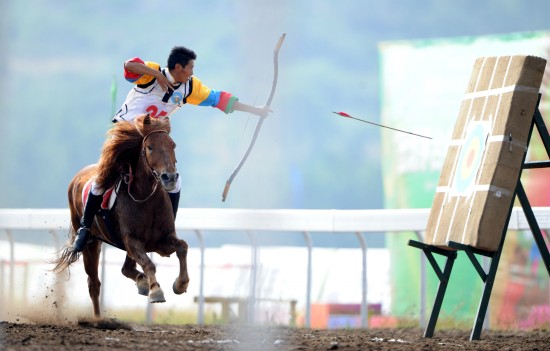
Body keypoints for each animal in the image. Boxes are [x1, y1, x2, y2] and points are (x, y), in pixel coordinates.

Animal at [54, 114, 191, 318]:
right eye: (150, 147)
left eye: (172, 145)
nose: (170, 177)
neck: (146, 198)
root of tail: (77, 178)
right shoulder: (132, 240)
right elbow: (149, 264)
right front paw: (156, 291)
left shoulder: (161, 241)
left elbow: (182, 247)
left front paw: (180, 284)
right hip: (91, 242)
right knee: (94, 283)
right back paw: (98, 318)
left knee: (126, 268)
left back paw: (142, 282)